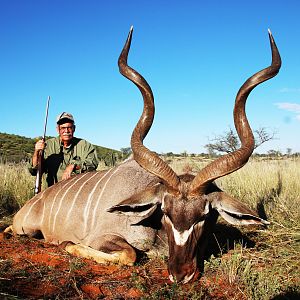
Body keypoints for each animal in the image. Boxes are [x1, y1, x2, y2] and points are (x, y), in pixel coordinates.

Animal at [6, 28, 282, 284]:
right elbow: (129, 254)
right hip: (25, 228)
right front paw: (67, 244)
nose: (180, 274)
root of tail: (33, 202)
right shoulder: (102, 237)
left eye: (204, 215)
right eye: (165, 211)